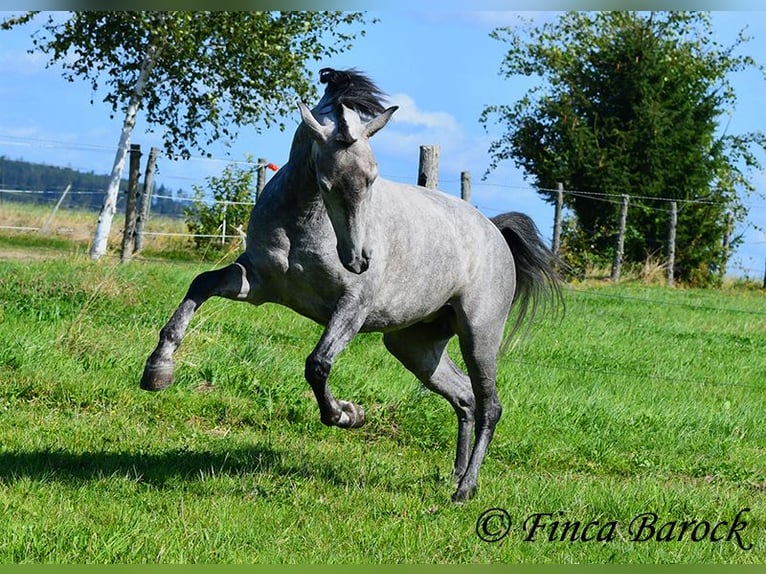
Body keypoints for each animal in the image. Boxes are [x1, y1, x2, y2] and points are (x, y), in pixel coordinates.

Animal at [144, 67, 564, 502]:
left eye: (373, 178)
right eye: (327, 183)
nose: (360, 259)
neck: (301, 225)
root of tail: (493, 231)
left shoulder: (352, 307)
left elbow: (318, 364)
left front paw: (348, 414)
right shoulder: (257, 284)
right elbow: (201, 285)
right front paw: (158, 371)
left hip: (478, 336)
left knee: (489, 405)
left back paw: (465, 489)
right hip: (414, 346)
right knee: (465, 397)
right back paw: (455, 475)